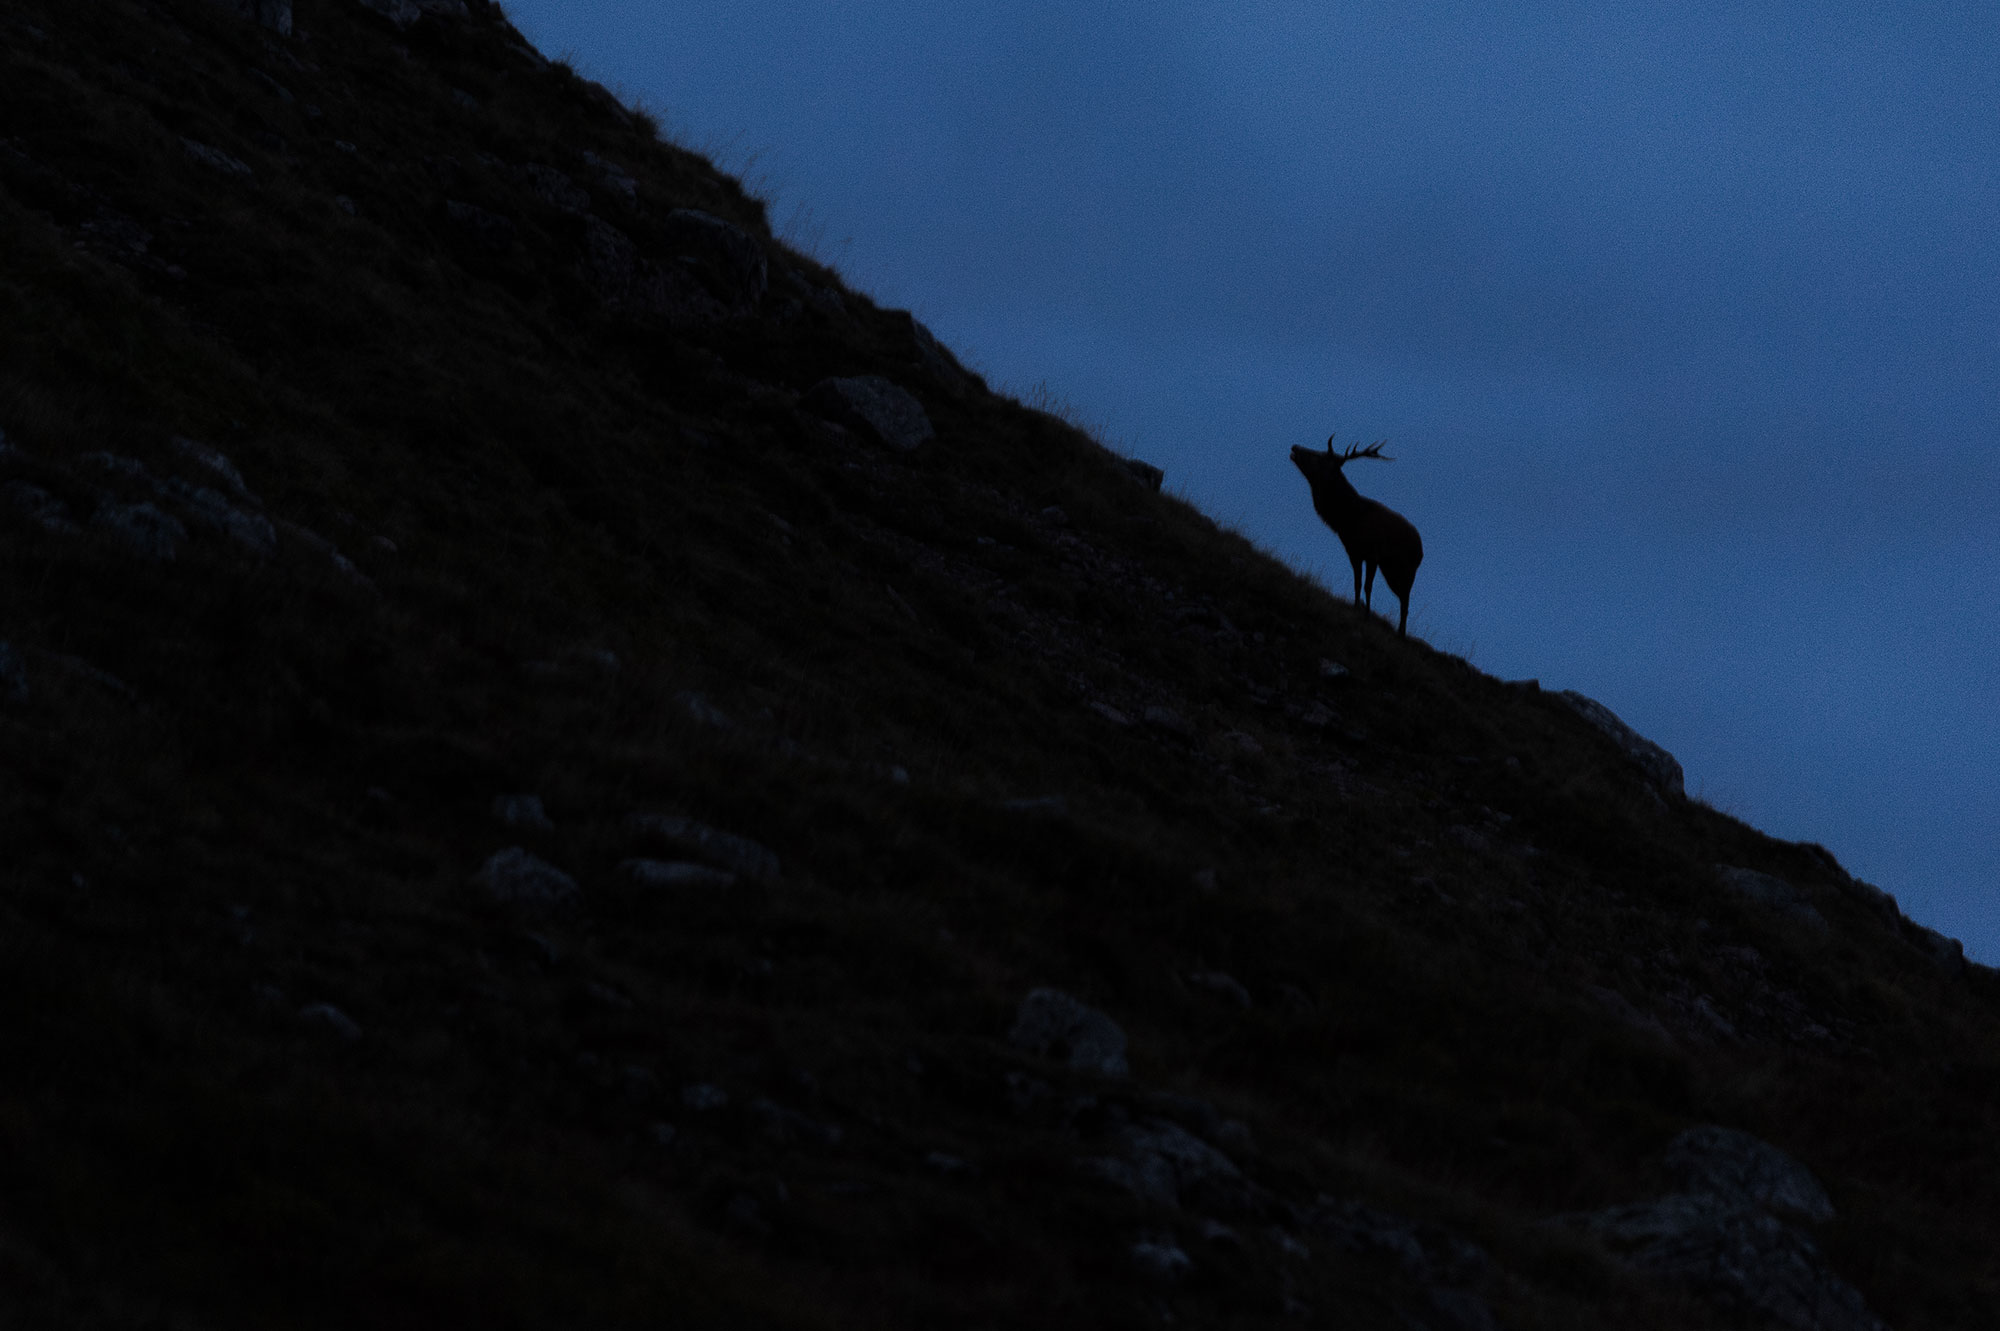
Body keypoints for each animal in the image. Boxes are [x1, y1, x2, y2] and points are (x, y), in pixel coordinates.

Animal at [1290, 435, 1424, 637]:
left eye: (1320, 457)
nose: (1295, 447)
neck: (1348, 520)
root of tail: (1421, 549)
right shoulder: (1353, 552)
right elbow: (1357, 583)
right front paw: (1355, 608)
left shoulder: (1373, 554)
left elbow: (1368, 586)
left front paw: (1367, 615)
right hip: (1390, 569)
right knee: (1402, 596)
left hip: (1406, 570)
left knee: (1405, 599)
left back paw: (1401, 632)